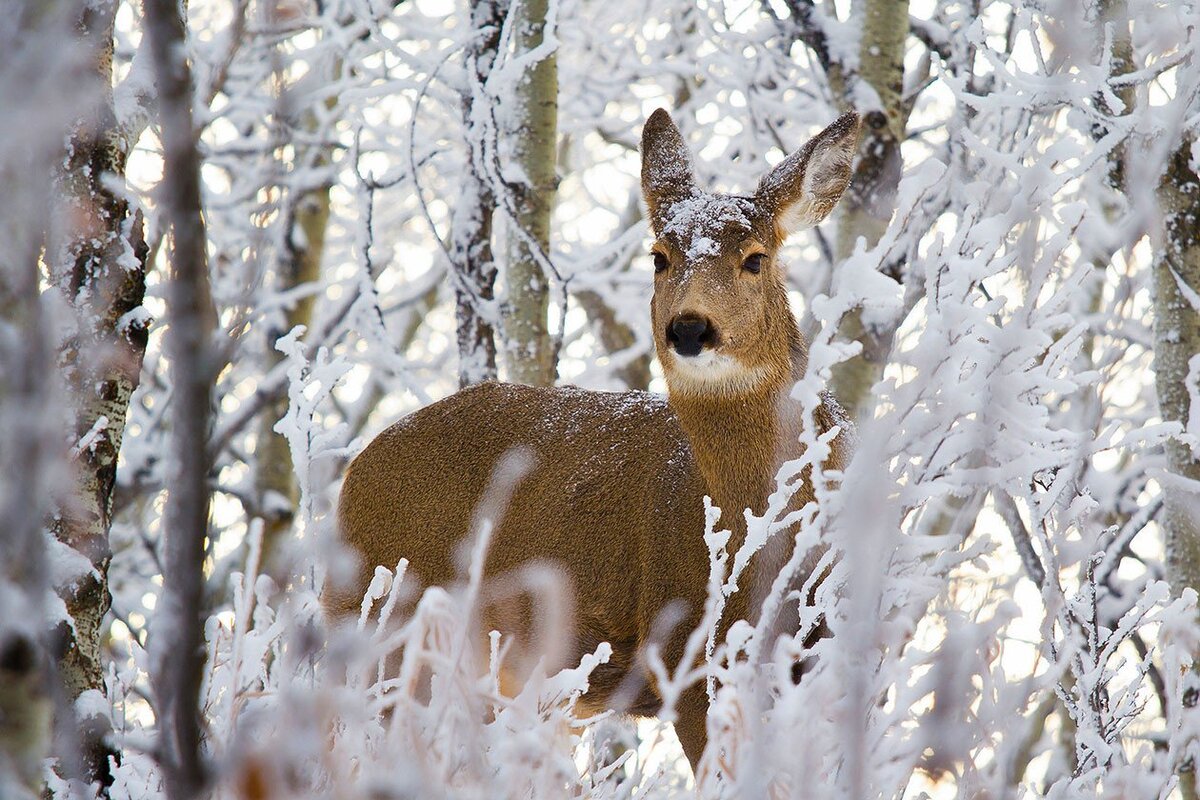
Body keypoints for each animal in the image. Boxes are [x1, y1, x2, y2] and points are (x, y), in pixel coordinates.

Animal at [324, 107, 859, 777]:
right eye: (659, 256)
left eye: (755, 258)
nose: (690, 328)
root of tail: (353, 475)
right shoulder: (685, 656)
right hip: (381, 632)